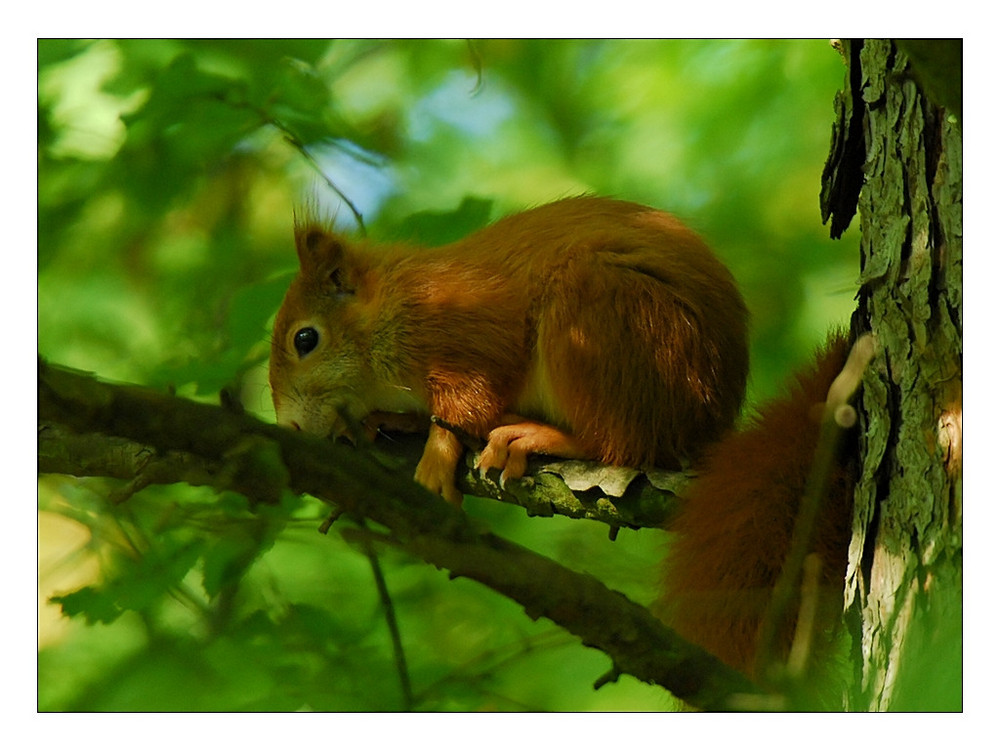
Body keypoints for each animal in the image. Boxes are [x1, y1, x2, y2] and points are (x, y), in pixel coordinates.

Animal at [272, 198, 752, 506]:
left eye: (305, 339)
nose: (288, 427)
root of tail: (710, 421)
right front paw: (393, 420)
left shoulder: (465, 333)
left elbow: (466, 405)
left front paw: (436, 455)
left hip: (603, 316)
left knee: (624, 443)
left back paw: (531, 434)